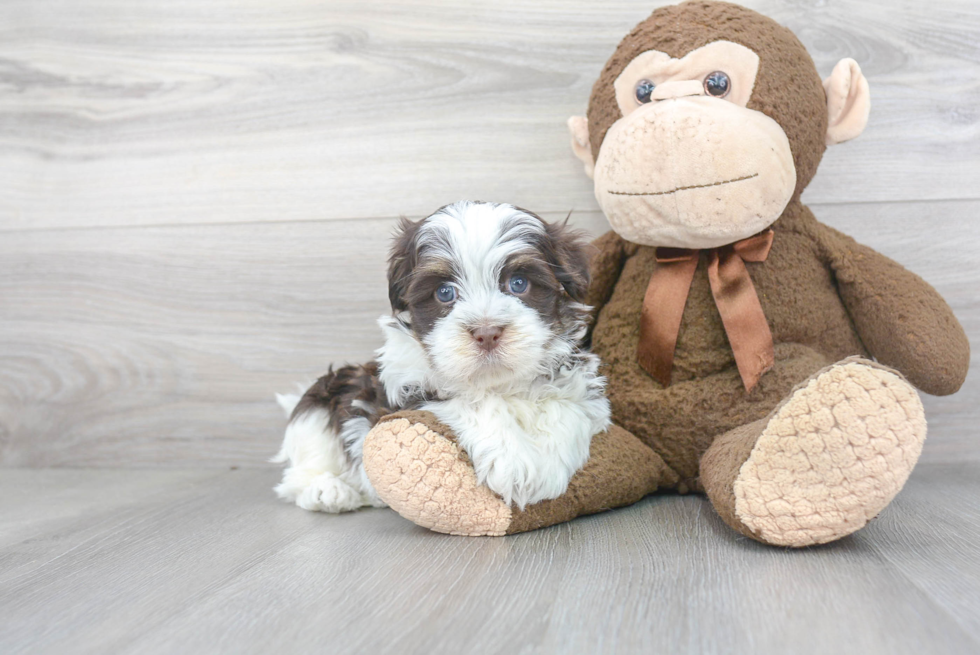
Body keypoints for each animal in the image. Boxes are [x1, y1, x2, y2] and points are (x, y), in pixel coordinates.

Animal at [276, 200, 608, 512]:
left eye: (518, 283)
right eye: (445, 293)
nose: (487, 333)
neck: (497, 382)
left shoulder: (575, 376)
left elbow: (566, 405)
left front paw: (548, 466)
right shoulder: (408, 393)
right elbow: (475, 403)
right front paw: (513, 463)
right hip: (321, 400)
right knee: (300, 468)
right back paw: (328, 490)